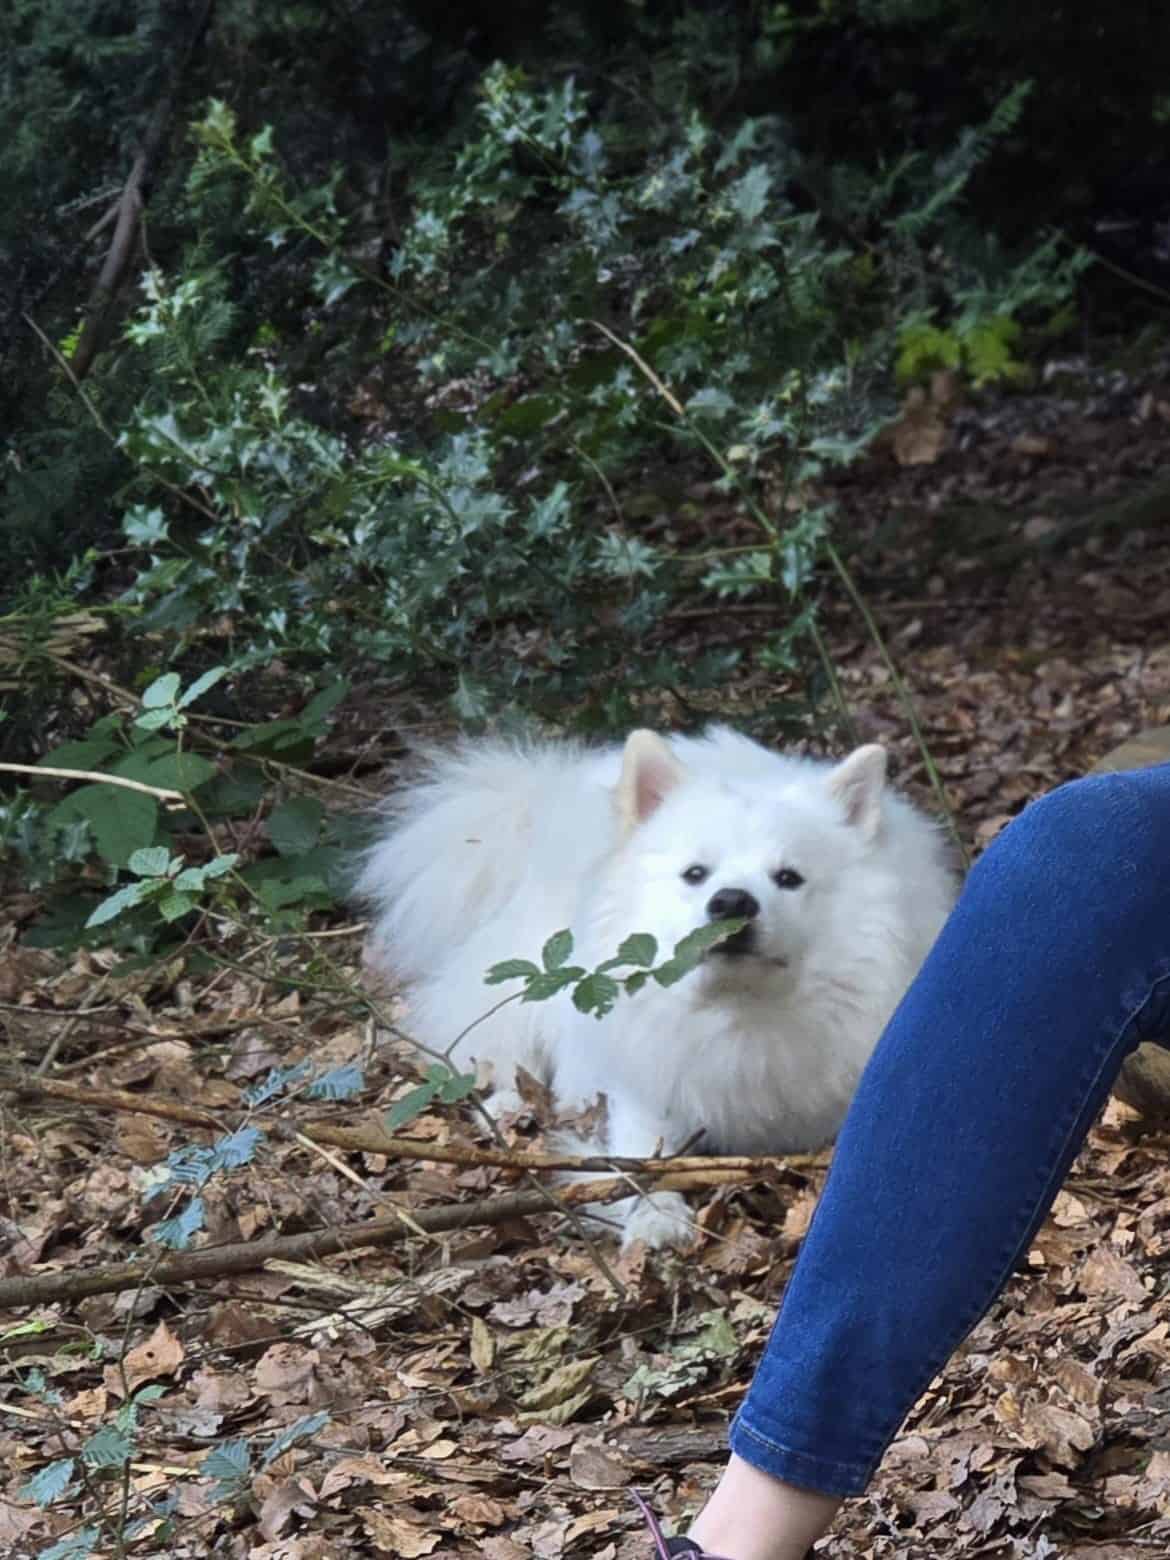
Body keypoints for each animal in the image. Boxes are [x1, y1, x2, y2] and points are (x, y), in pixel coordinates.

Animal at [357, 725, 958, 1247]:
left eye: (789, 878)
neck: (741, 1015)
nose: (732, 901)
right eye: (695, 874)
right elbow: (641, 1158)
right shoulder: (646, 1089)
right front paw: (656, 1217)